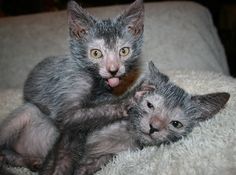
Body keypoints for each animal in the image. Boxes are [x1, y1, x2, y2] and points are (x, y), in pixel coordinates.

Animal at [0, 0, 144, 173]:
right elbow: (71, 119)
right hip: (26, 112)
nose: (113, 70)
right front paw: (130, 99)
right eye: (96, 53)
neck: (98, 83)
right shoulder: (73, 82)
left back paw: (30, 162)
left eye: (124, 51)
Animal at [39, 61, 230, 175]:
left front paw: (87, 167)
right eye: (150, 105)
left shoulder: (124, 152)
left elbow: (106, 158)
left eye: (176, 124)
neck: (126, 133)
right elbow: (67, 146)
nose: (154, 127)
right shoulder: (72, 128)